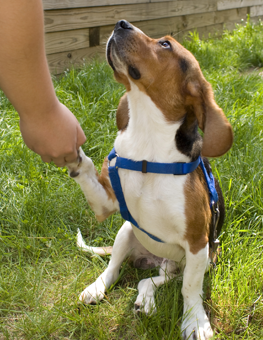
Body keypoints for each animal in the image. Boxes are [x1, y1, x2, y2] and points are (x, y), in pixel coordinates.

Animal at [67, 20, 234, 340]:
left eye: (165, 44)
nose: (120, 23)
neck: (148, 143)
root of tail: (154, 260)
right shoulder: (106, 204)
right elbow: (87, 171)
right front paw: (73, 154)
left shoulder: (198, 243)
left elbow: (190, 290)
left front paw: (195, 321)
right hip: (125, 231)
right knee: (114, 270)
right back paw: (97, 289)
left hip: (205, 258)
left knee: (153, 281)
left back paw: (145, 302)